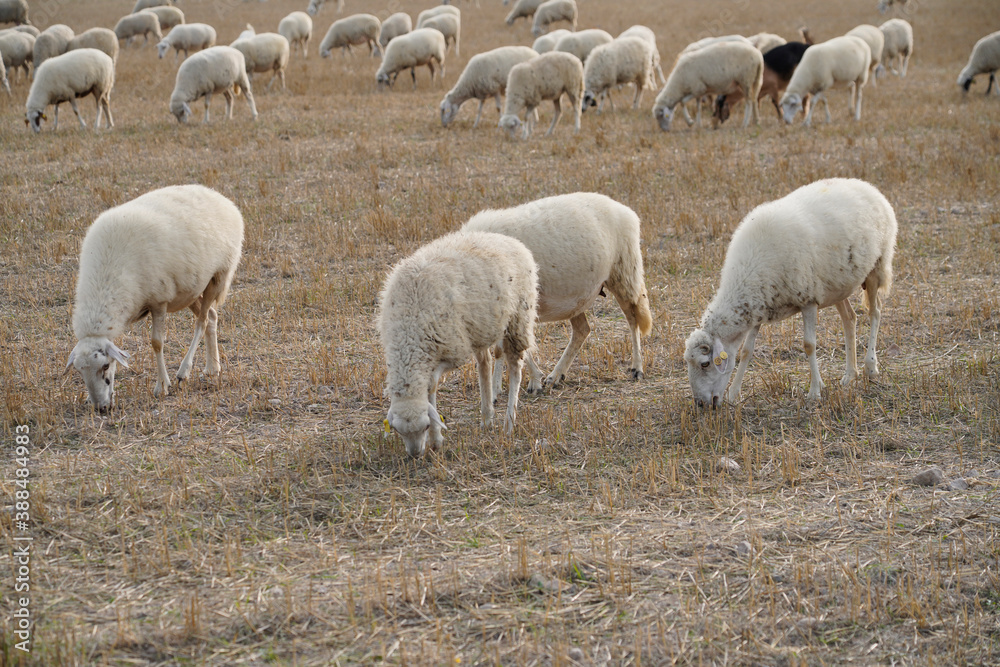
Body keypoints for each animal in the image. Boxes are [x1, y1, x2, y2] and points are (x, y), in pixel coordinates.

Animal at [67, 185, 243, 413]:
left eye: (105, 366)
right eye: (79, 370)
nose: (101, 408)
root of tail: (218, 196)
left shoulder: (159, 301)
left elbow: (157, 342)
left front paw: (162, 386)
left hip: (218, 276)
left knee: (202, 321)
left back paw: (184, 371)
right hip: (192, 289)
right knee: (212, 317)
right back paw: (213, 367)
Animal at [378, 230, 538, 457]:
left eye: (425, 426)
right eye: (398, 431)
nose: (415, 454)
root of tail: (507, 239)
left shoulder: (454, 349)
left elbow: (431, 384)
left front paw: (436, 440)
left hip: (518, 317)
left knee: (515, 369)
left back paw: (509, 423)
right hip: (479, 328)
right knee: (485, 363)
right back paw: (487, 416)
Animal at [462, 193, 652, 394]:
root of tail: (624, 209)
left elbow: (509, 348)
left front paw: (522, 383)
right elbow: (504, 348)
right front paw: (505, 386)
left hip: (624, 273)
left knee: (633, 318)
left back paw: (637, 368)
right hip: (578, 297)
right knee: (582, 330)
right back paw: (556, 376)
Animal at [684, 178, 896, 406]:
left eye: (705, 363)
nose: (700, 404)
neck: (748, 273)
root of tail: (864, 184)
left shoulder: (808, 300)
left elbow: (809, 345)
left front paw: (815, 391)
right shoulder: (759, 306)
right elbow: (747, 351)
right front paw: (734, 393)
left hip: (877, 265)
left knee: (875, 312)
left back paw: (870, 367)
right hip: (839, 284)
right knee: (850, 318)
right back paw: (850, 374)